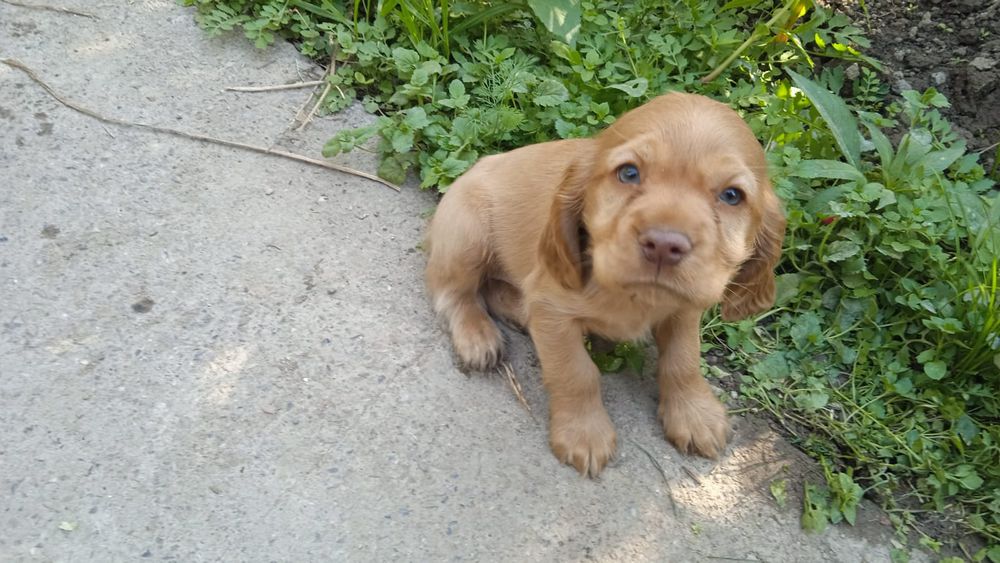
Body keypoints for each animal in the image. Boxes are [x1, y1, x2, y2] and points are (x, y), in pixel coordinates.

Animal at [425, 92, 785, 476]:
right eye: (628, 173)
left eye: (732, 196)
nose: (663, 244)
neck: (636, 297)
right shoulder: (552, 306)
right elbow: (576, 372)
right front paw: (584, 433)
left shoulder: (684, 310)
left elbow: (684, 358)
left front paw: (695, 414)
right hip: (467, 233)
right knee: (453, 291)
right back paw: (477, 335)